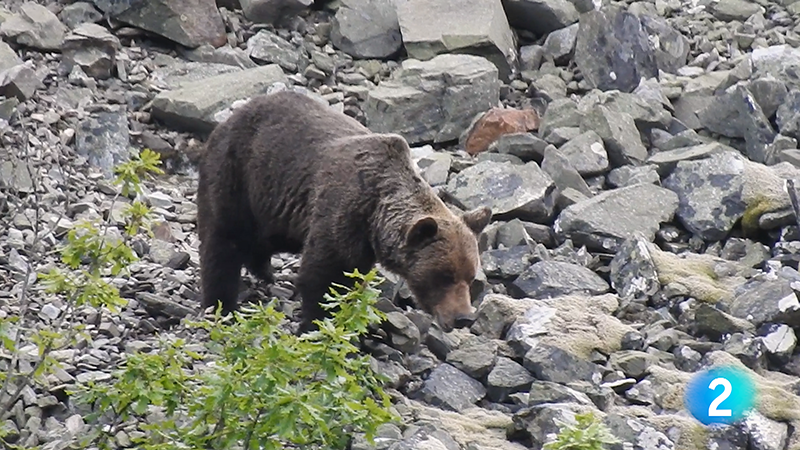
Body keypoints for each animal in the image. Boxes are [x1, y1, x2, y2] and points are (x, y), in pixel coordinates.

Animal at [195, 89, 492, 334]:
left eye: (471, 277)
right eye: (444, 276)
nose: (464, 318)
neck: (375, 215)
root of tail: (227, 119)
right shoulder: (342, 210)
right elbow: (323, 275)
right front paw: (317, 323)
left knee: (261, 239)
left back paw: (264, 271)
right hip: (238, 173)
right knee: (224, 240)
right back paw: (221, 303)